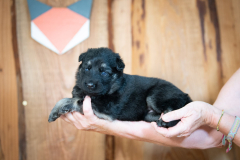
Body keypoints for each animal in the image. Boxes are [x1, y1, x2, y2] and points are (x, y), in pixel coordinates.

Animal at [48, 47, 191, 127]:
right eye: (87, 69)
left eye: (104, 72)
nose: (89, 85)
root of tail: (185, 95)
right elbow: (66, 98)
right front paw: (54, 111)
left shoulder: (104, 111)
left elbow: (77, 101)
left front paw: (65, 106)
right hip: (147, 114)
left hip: (155, 95)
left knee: (175, 112)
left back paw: (166, 122)